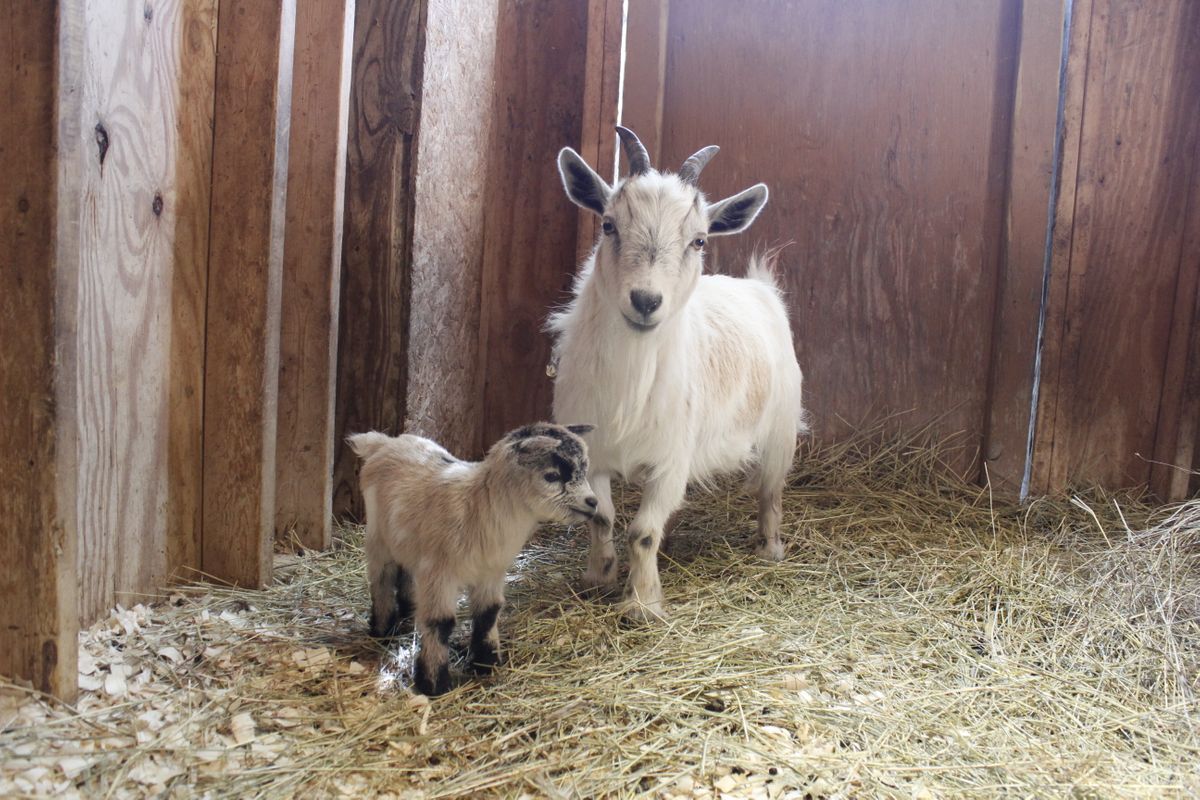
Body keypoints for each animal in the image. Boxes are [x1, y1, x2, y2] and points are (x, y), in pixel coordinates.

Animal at [348, 423, 598, 696]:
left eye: (584, 468)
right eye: (552, 476)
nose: (593, 502)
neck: (480, 506)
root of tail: (384, 442)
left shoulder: (490, 572)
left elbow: (488, 613)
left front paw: (487, 664)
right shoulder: (440, 574)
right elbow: (440, 623)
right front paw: (433, 683)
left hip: (407, 542)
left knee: (406, 571)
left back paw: (407, 610)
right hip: (377, 537)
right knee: (381, 580)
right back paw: (382, 629)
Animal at [550, 126, 805, 623]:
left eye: (699, 240)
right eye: (608, 224)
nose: (646, 301)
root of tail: (760, 287)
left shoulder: (671, 458)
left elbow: (642, 532)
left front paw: (642, 603)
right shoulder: (595, 453)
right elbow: (604, 517)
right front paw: (598, 576)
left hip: (780, 429)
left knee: (771, 489)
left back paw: (770, 548)